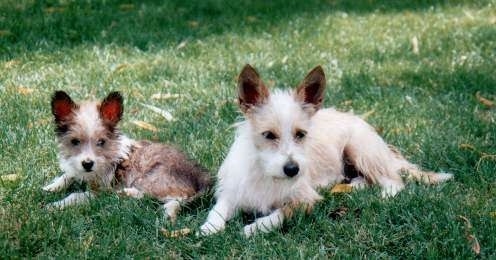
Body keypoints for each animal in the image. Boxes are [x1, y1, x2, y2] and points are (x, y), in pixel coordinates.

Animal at [43, 90, 211, 220]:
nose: (88, 164)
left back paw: (128, 193)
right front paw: (51, 187)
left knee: (173, 197)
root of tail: (202, 178)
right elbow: (67, 175)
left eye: (101, 142)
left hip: (151, 178)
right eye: (75, 141)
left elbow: (76, 195)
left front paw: (55, 205)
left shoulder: (100, 190)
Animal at [199, 64, 454, 237]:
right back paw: (352, 185)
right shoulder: (233, 191)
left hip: (359, 149)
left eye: (301, 134)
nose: (292, 169)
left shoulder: (306, 201)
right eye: (269, 135)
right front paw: (209, 226)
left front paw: (254, 228)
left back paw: (382, 195)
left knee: (393, 181)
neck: (266, 173)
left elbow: (280, 214)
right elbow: (218, 208)